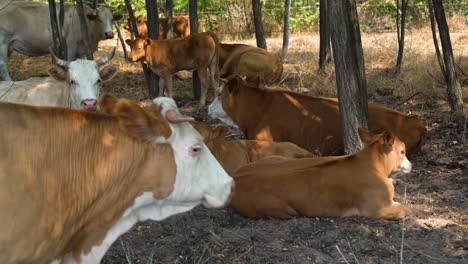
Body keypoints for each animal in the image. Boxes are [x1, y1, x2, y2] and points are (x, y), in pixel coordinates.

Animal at [229, 129, 412, 220]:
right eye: (402, 151)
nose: (411, 165)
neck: (373, 163)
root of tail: (235, 178)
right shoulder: (378, 208)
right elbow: (404, 209)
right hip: (282, 210)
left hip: (275, 158)